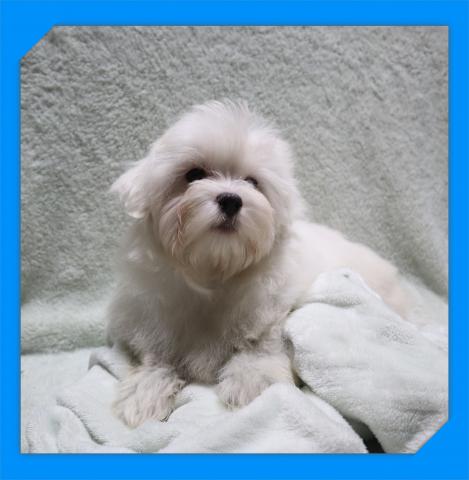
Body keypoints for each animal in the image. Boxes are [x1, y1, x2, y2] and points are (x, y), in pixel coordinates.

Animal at [107, 100, 408, 428]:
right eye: (194, 174)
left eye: (252, 182)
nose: (231, 199)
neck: (215, 271)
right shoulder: (156, 317)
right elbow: (156, 356)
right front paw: (144, 391)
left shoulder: (275, 307)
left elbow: (265, 343)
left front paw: (251, 380)